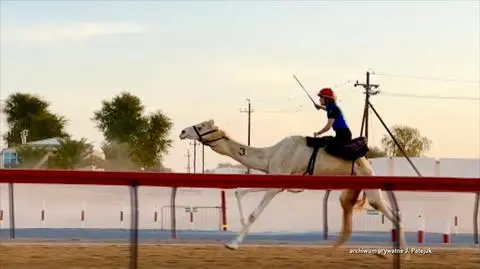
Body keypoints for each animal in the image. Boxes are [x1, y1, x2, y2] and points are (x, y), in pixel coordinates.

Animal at [179, 119, 408, 258]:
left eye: (202, 125)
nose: (182, 131)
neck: (270, 154)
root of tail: (365, 159)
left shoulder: (277, 182)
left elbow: (254, 214)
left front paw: (233, 243)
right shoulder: (274, 178)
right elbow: (239, 191)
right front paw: (239, 229)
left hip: (367, 179)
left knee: (385, 208)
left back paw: (402, 251)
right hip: (352, 186)